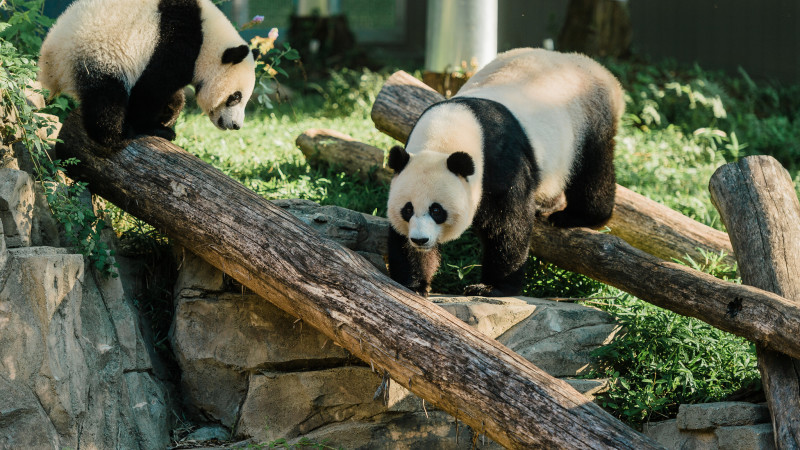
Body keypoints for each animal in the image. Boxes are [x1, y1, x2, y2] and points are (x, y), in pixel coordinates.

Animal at [38, 0, 256, 149]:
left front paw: (170, 112)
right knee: (106, 98)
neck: (208, 38)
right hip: (97, 54)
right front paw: (156, 127)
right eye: (236, 97)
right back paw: (117, 136)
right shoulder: (175, 41)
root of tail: (51, 68)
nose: (236, 125)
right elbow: (151, 89)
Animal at [386, 47, 624, 298]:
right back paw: (548, 205)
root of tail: (600, 71)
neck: (446, 132)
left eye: (437, 210)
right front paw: (414, 283)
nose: (420, 239)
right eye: (407, 209)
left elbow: (507, 223)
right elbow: (400, 237)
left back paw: (578, 216)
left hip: (589, 120)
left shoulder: (500, 161)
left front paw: (491, 287)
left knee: (592, 169)